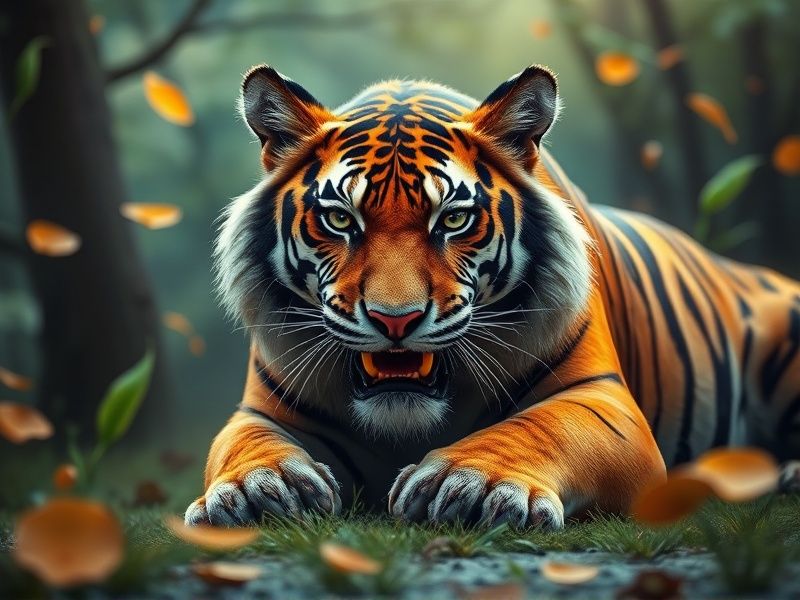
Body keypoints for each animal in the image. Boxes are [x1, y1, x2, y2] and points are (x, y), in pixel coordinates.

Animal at [185, 64, 800, 529]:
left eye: (453, 219)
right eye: (340, 219)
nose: (395, 321)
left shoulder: (602, 397)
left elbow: (538, 428)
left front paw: (473, 483)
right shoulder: (258, 409)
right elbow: (240, 444)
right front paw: (258, 488)